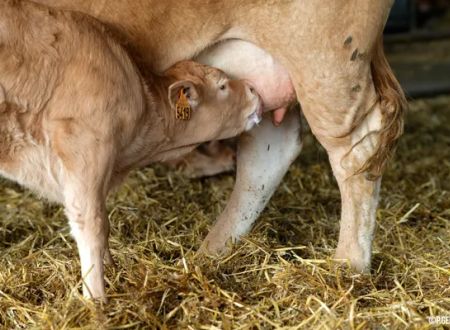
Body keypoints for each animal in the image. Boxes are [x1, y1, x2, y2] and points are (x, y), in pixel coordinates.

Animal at [0, 0, 264, 300]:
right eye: (222, 85)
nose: (254, 89)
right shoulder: (84, 146)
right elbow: (92, 224)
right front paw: (96, 299)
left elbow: (104, 224)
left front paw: (113, 268)